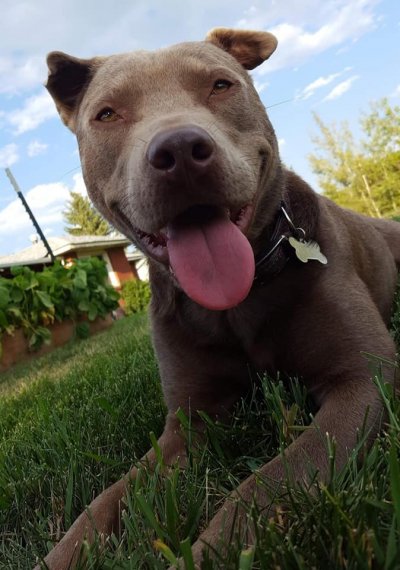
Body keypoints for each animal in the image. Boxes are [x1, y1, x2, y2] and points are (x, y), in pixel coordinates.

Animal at [36, 27, 398, 568]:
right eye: (107, 114)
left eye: (221, 85)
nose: (180, 150)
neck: (239, 301)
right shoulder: (188, 423)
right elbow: (107, 499)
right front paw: (60, 554)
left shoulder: (362, 379)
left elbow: (268, 483)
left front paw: (210, 550)